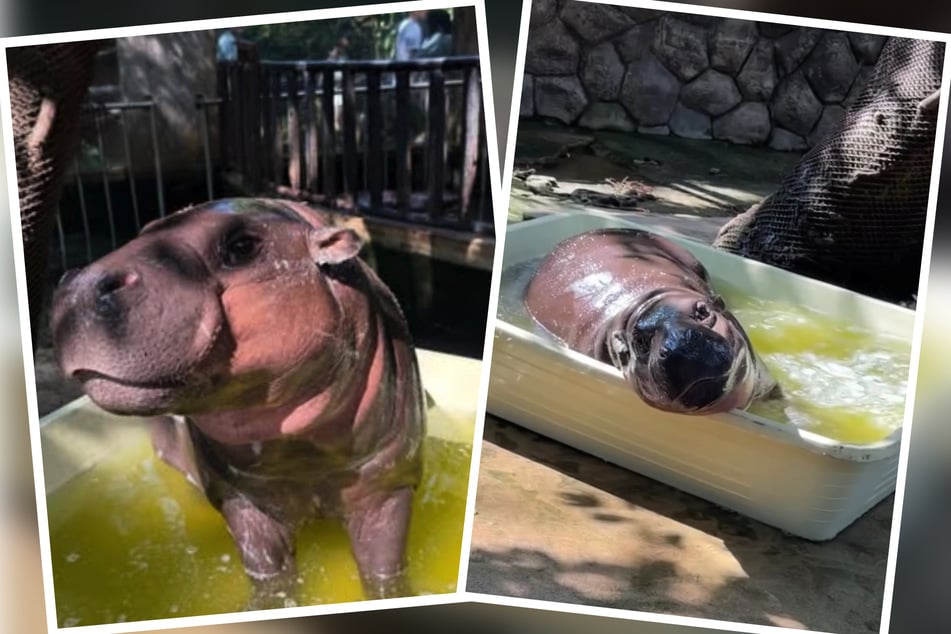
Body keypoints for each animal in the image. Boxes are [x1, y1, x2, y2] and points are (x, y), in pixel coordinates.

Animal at [51, 198, 425, 607]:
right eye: (146, 228)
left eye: (243, 246)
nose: (78, 285)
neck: (302, 452)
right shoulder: (243, 497)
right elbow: (268, 572)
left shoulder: (387, 485)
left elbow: (383, 570)